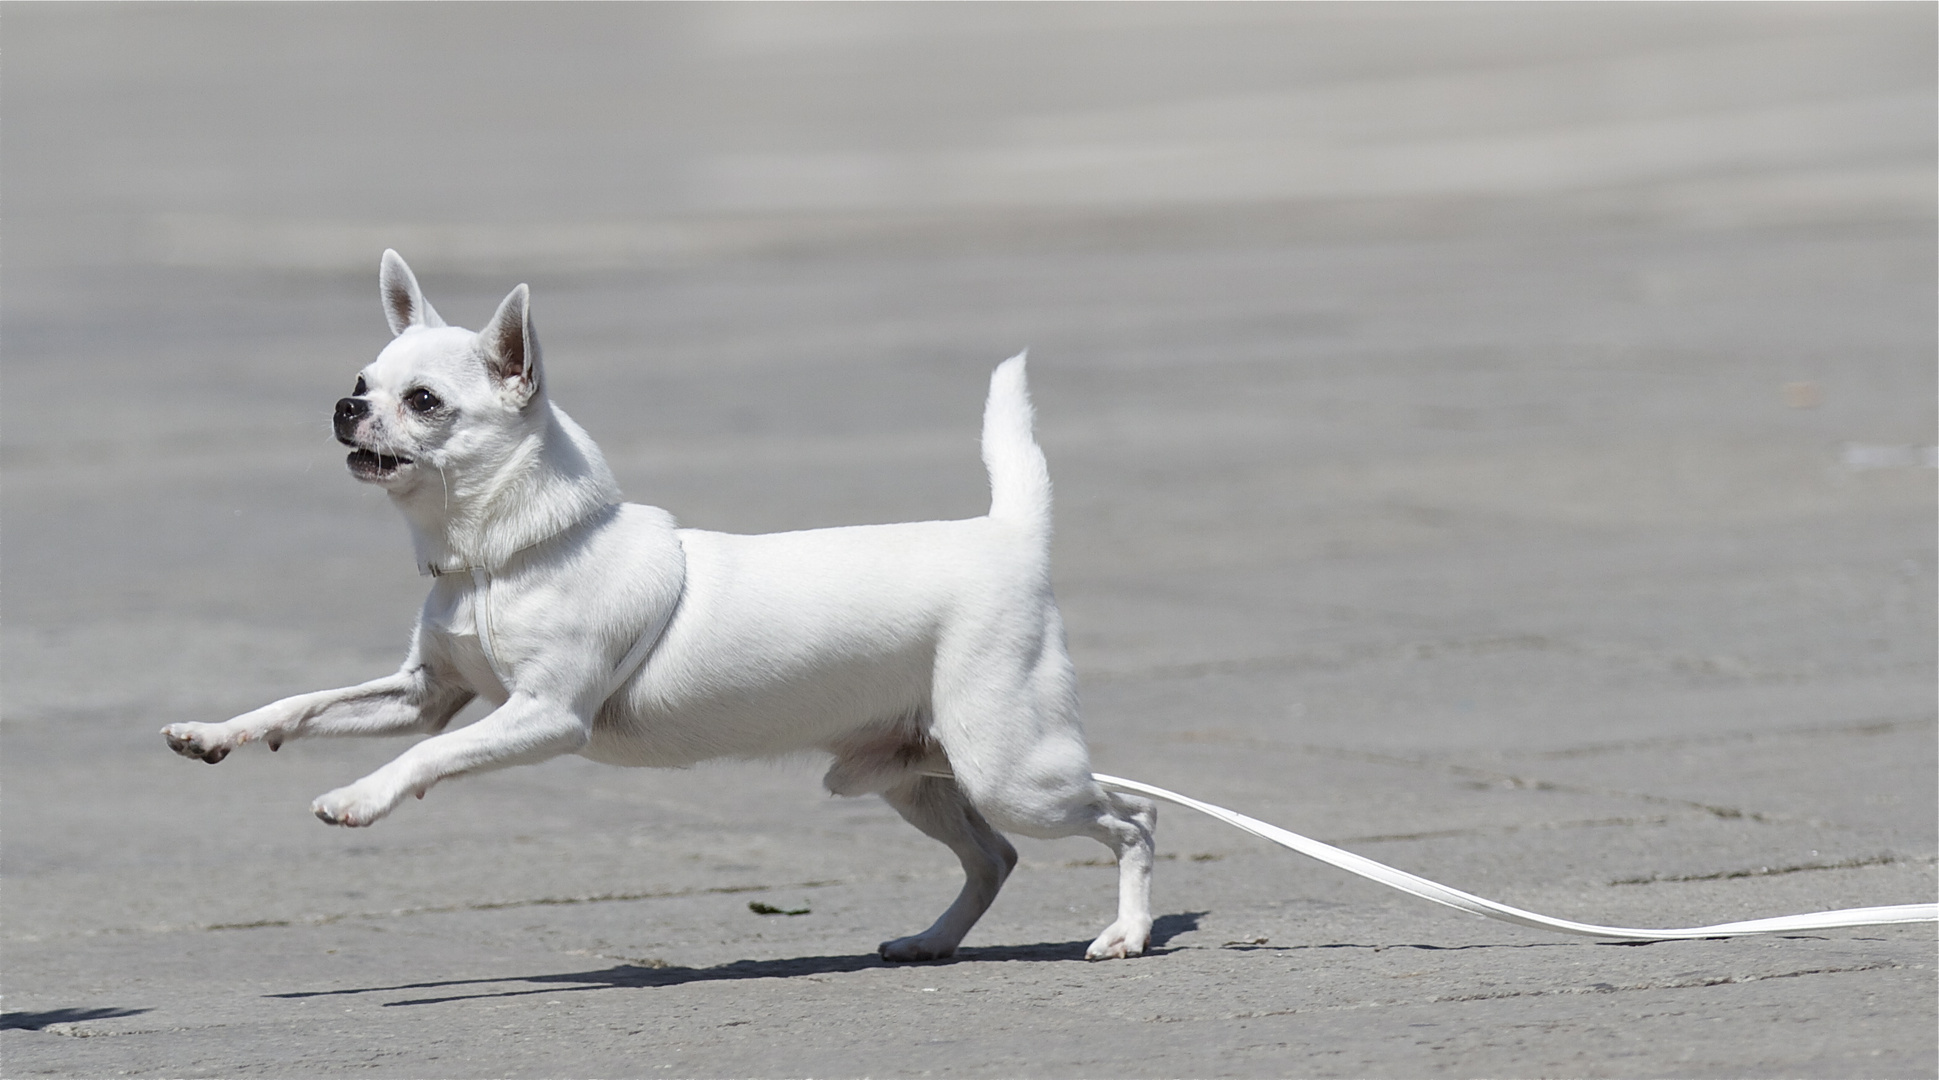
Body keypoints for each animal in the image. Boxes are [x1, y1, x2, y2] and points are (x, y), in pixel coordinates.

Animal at [162, 252, 1147, 961]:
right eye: (362, 381)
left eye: (424, 402)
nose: (342, 406)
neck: (494, 561)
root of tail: (1006, 533)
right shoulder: (425, 693)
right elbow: (304, 704)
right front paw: (215, 732)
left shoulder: (542, 716)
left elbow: (426, 757)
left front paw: (359, 798)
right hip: (910, 774)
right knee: (995, 856)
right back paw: (933, 941)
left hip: (1010, 770)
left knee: (1130, 819)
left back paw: (1126, 933)